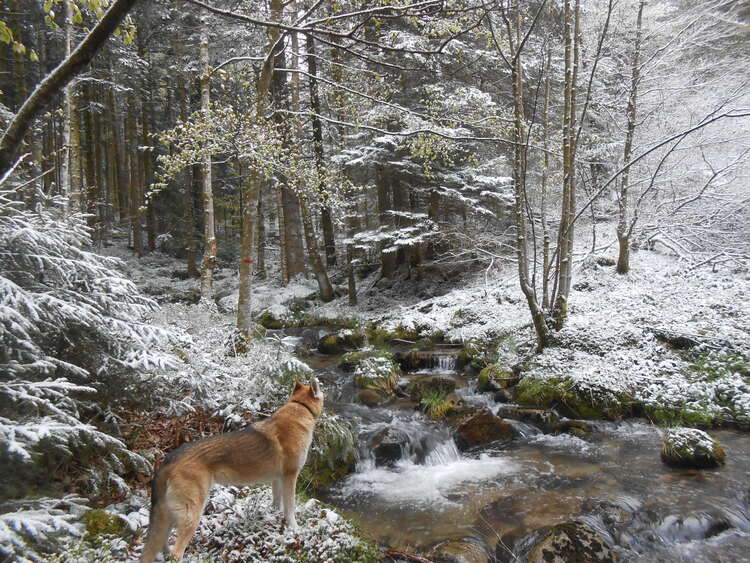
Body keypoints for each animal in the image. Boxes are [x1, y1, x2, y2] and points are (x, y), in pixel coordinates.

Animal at [140, 378, 324, 563]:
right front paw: (295, 529)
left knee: (162, 544)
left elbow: (276, 502)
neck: (300, 407)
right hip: (191, 516)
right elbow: (290, 508)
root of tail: (169, 459)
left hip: (170, 515)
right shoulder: (290, 476)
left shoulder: (277, 478)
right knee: (176, 552)